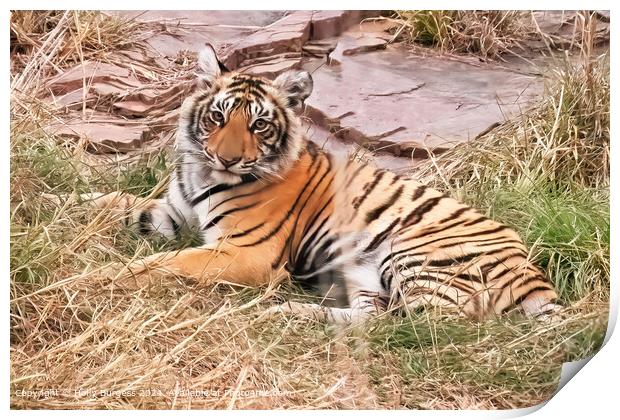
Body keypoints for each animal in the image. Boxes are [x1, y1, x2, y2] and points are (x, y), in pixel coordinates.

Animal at [75, 46, 560, 324]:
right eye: (217, 116)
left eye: (259, 124)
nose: (227, 158)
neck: (203, 173)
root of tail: (532, 270)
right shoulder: (174, 212)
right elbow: (115, 202)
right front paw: (64, 201)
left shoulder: (245, 252)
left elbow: (164, 263)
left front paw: (95, 276)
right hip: (364, 273)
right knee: (373, 320)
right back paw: (291, 313)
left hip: (416, 255)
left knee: (426, 328)